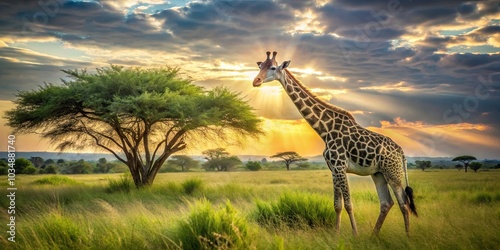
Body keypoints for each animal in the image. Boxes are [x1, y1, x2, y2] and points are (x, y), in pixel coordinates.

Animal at [252, 51, 416, 236]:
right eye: (260, 66)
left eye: (273, 67)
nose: (256, 81)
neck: (325, 130)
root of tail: (401, 152)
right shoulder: (333, 169)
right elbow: (337, 205)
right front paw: (336, 234)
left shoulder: (340, 167)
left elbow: (349, 204)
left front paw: (355, 235)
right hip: (378, 173)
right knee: (387, 203)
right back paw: (374, 236)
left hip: (393, 173)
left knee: (404, 204)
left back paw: (407, 236)